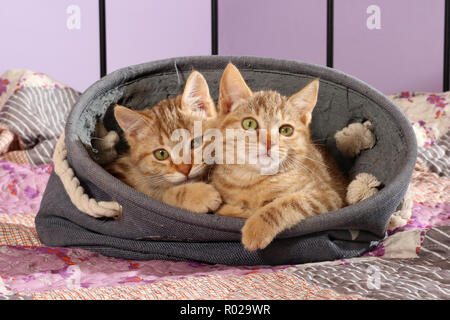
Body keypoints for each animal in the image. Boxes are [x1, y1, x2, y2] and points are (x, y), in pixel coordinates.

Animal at [211, 63, 348, 251]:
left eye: (286, 130)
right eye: (249, 123)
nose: (269, 143)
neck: (251, 180)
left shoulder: (328, 196)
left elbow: (291, 202)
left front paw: (256, 227)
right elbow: (223, 209)